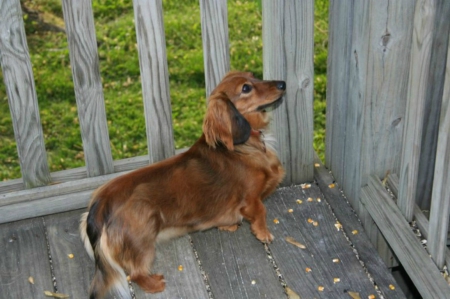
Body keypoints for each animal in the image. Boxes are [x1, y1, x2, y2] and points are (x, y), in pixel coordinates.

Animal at [80, 71, 284, 298]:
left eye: (253, 75)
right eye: (246, 88)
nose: (282, 84)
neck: (243, 147)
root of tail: (100, 204)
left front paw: (228, 225)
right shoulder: (251, 198)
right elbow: (261, 212)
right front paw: (264, 233)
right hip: (143, 241)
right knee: (135, 274)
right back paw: (155, 284)